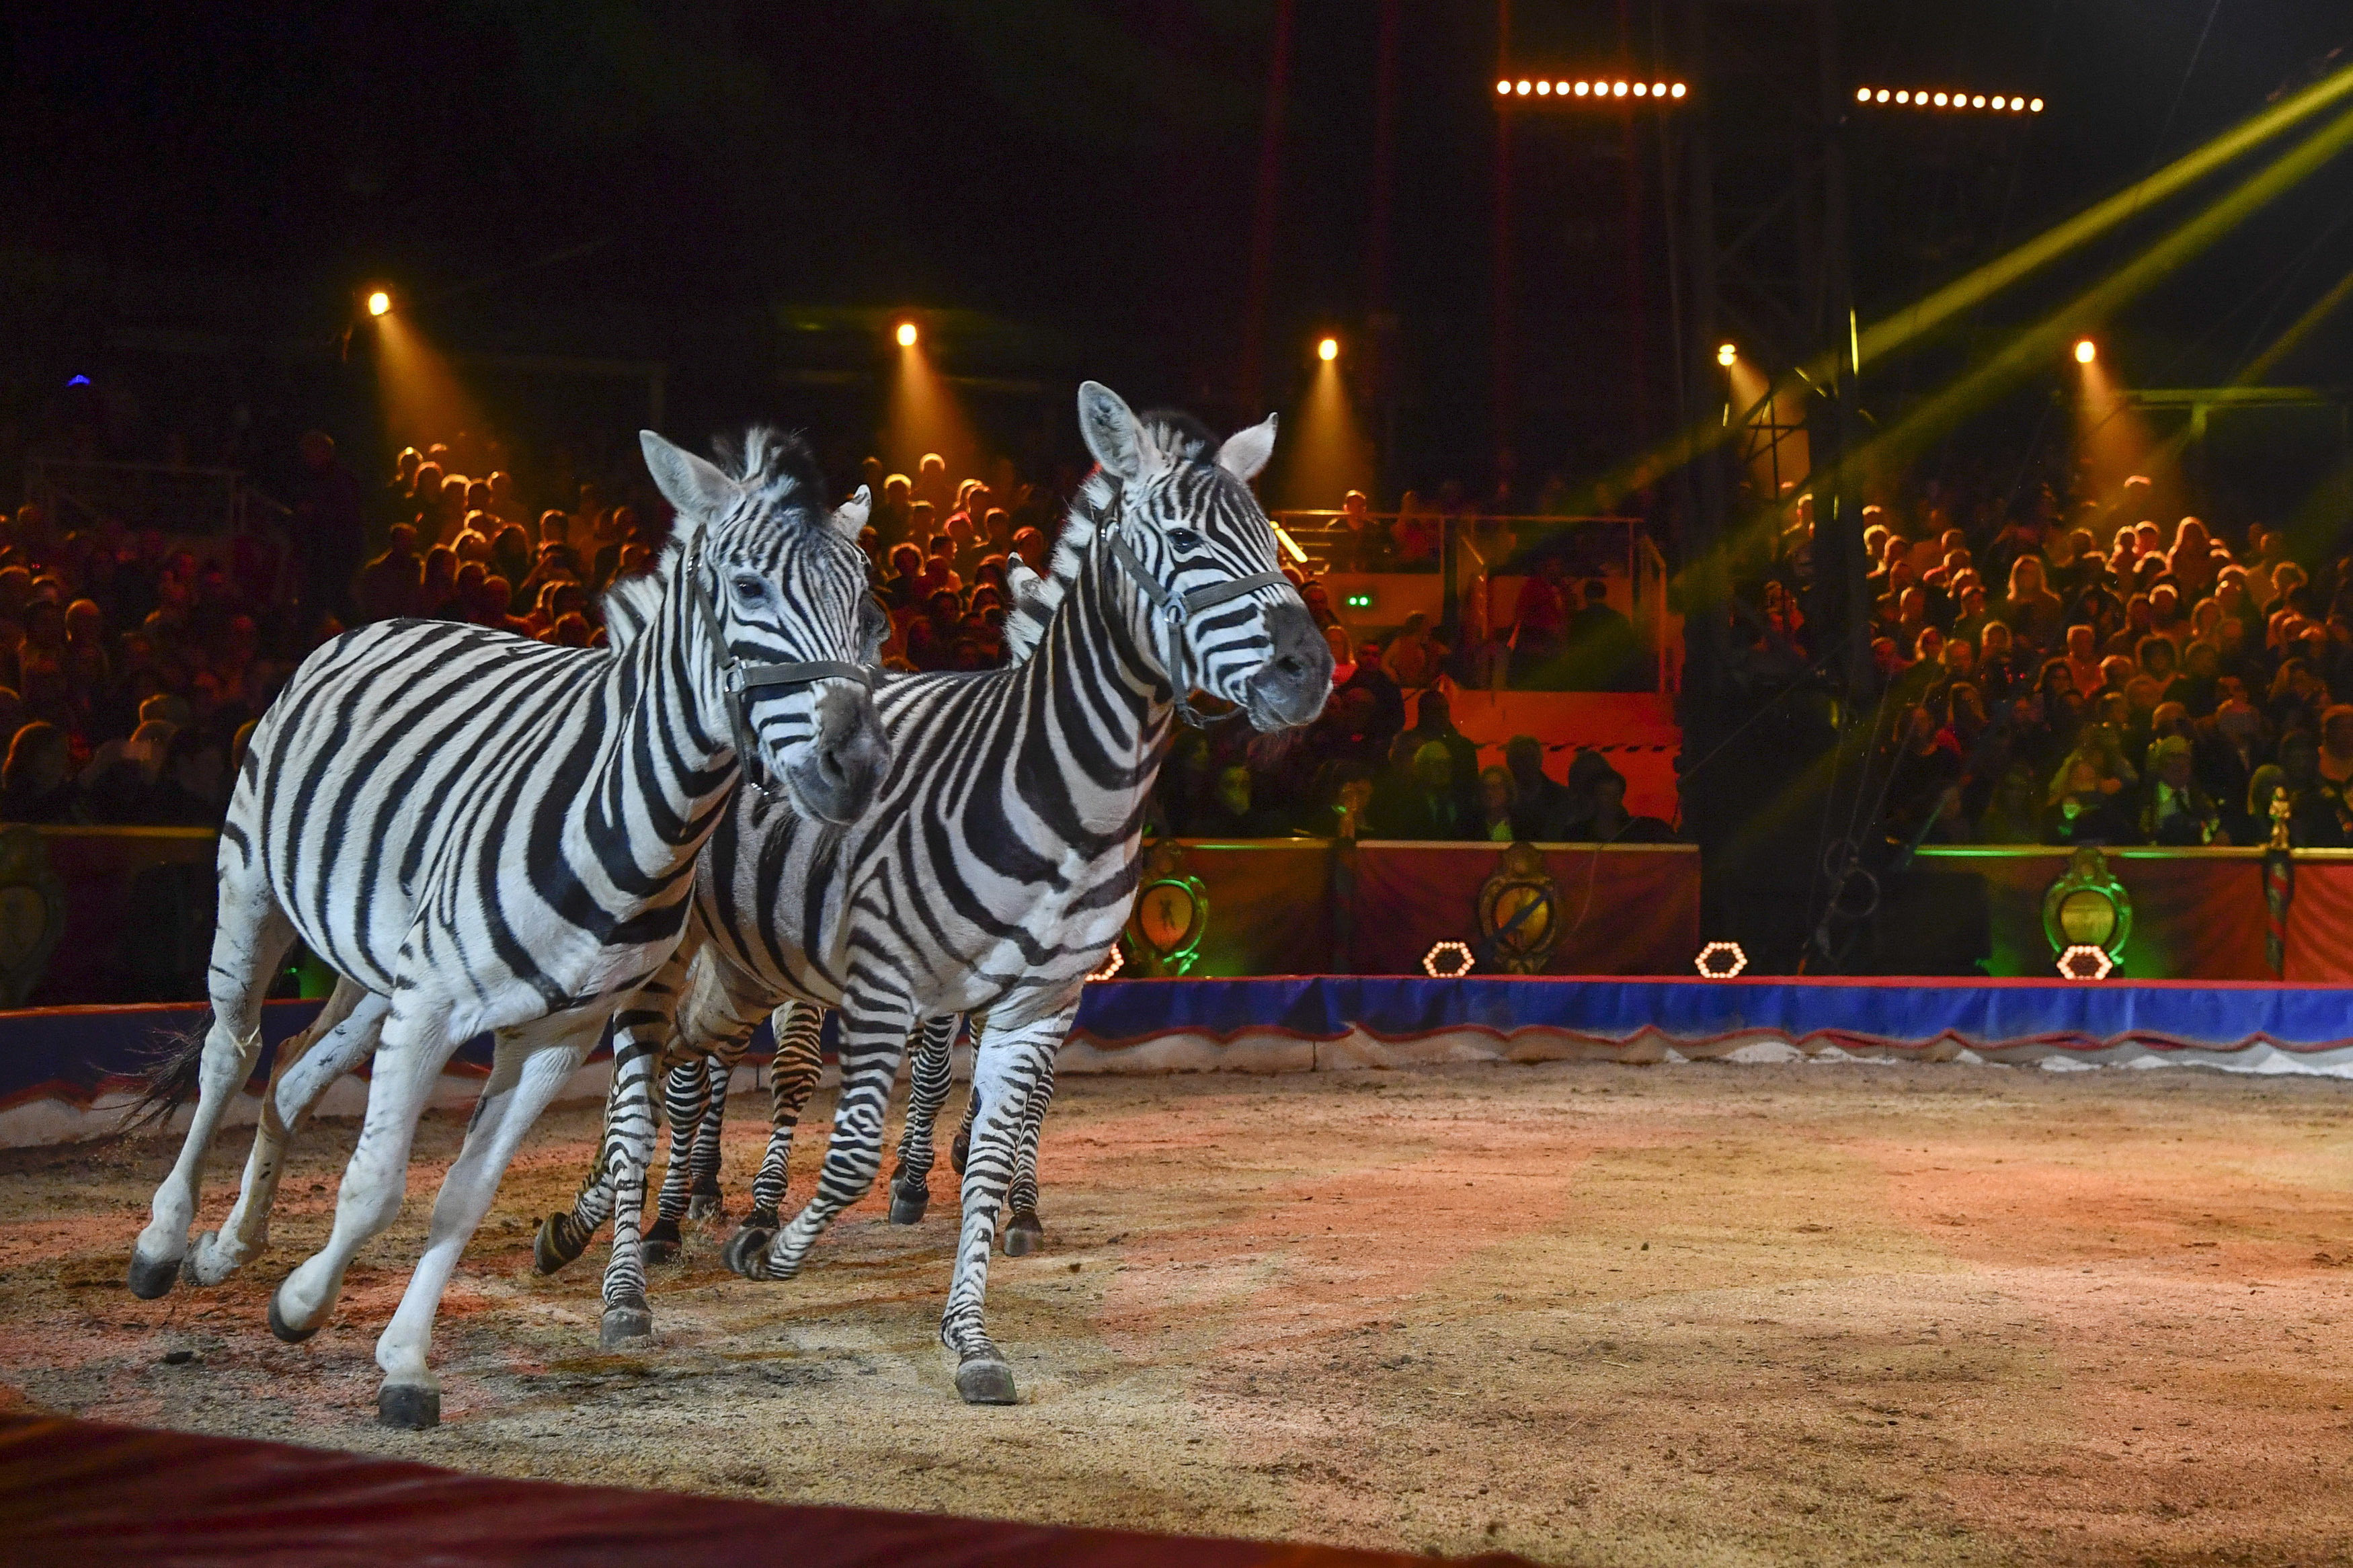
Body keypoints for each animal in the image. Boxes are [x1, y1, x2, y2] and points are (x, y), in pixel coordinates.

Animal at [124, 430, 885, 1438]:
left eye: (868, 613)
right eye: (751, 589)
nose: (858, 768)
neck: (641, 820)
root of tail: (384, 619)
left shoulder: (554, 1034)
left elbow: (462, 1197)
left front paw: (404, 1360)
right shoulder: (434, 1004)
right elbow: (376, 1184)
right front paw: (301, 1305)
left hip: (375, 968)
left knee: (287, 1074)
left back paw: (228, 1245)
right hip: (254, 892)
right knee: (230, 1053)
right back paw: (166, 1240)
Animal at [579, 383, 1337, 1410]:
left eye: (1272, 537)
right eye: (1183, 540)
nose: (1310, 671)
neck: (1062, 785)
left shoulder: (1044, 994)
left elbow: (994, 1139)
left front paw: (973, 1328)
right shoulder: (890, 977)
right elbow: (856, 1143)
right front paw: (777, 1242)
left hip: (742, 967)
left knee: (682, 1063)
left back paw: (599, 1221)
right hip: (682, 950)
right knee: (644, 1084)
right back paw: (636, 1268)